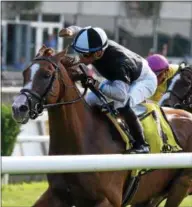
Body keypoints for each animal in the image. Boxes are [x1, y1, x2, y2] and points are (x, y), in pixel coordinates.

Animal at [12, 46, 192, 206]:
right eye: (24, 73)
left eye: (46, 74)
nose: (18, 108)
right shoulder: (56, 195)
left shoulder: (107, 200)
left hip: (180, 186)